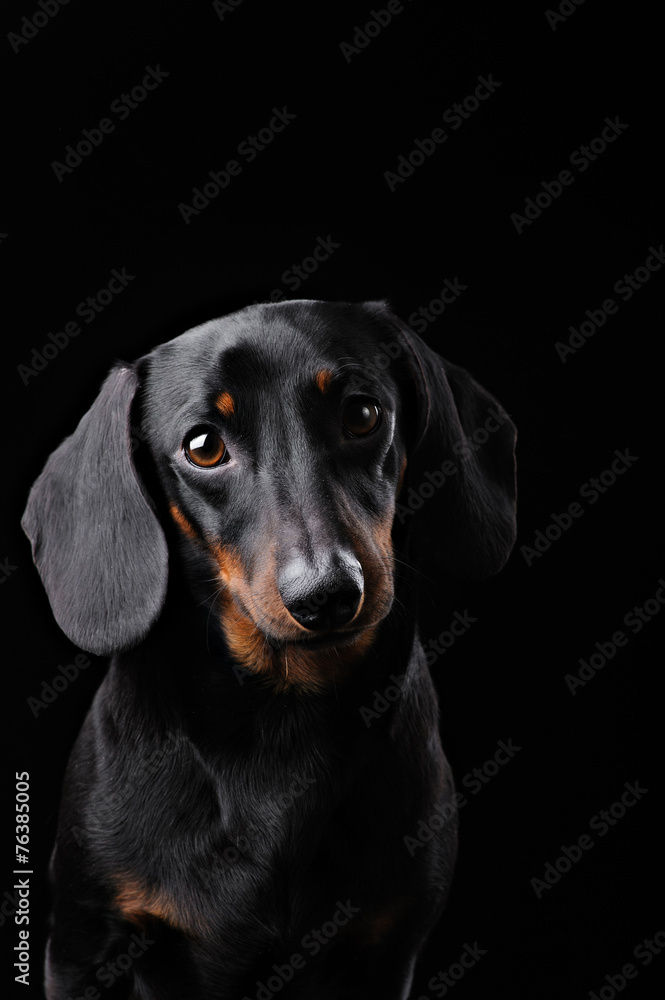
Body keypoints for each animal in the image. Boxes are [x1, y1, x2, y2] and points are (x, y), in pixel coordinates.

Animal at [23, 300, 516, 996]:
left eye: (363, 413)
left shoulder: (390, 949)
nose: (327, 594)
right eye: (203, 446)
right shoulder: (82, 943)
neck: (283, 712)